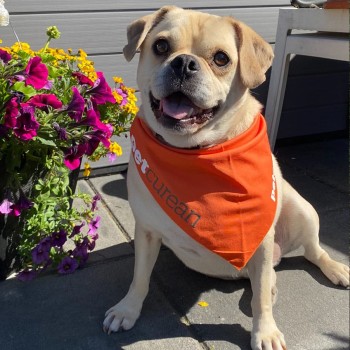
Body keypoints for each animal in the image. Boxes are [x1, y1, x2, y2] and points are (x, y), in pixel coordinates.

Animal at [104, 6, 350, 350]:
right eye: (161, 46)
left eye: (221, 59)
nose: (184, 62)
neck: (195, 151)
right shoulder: (147, 231)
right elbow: (140, 276)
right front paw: (127, 310)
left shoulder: (261, 240)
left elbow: (260, 302)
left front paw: (265, 332)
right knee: (266, 278)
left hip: (303, 211)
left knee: (312, 252)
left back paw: (334, 268)